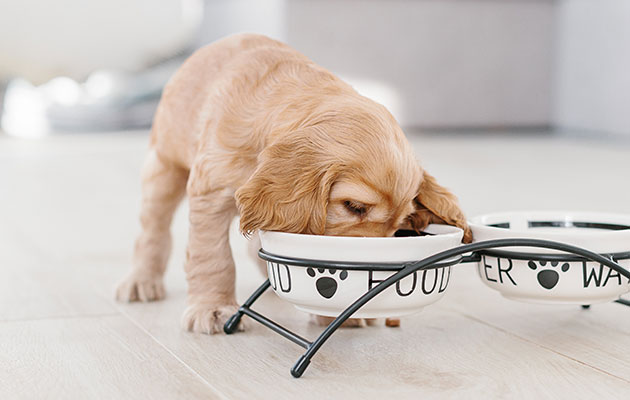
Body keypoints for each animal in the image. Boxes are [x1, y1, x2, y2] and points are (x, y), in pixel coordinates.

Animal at [117, 35, 474, 334]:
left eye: (399, 226)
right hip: (164, 166)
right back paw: (140, 281)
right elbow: (212, 256)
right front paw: (213, 308)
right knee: (153, 230)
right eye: (354, 206)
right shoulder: (211, 190)